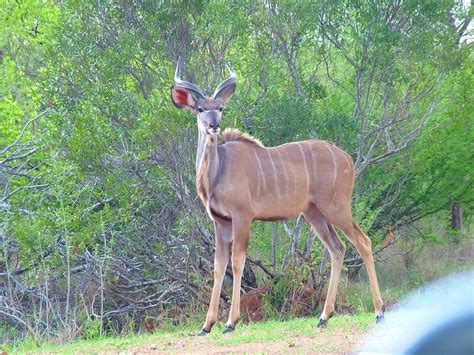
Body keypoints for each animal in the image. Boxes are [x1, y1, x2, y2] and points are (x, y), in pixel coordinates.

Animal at [171, 59, 386, 336]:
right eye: (199, 109)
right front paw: (206, 325)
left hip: (336, 207)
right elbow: (219, 266)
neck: (219, 170)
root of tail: (347, 158)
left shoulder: (242, 217)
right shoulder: (221, 222)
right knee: (338, 248)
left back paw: (379, 312)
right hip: (313, 213)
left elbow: (237, 261)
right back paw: (323, 316)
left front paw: (230, 322)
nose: (213, 125)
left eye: (220, 108)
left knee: (363, 241)